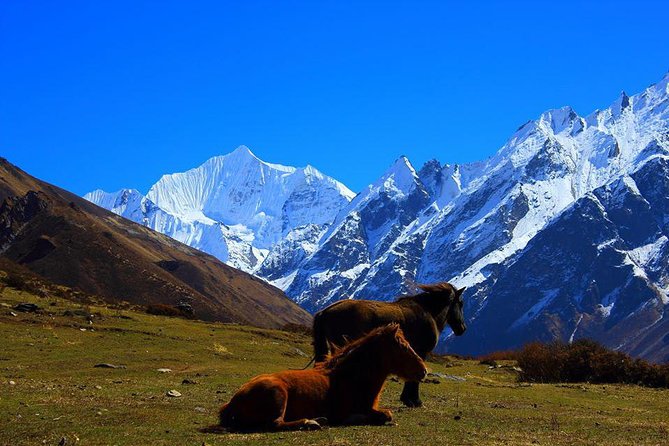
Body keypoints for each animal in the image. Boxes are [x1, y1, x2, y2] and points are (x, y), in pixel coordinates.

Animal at [219, 324, 428, 432]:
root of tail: (232, 402)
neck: (352, 376)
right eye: (403, 347)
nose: (424, 371)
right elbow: (386, 414)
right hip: (278, 395)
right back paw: (311, 422)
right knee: (275, 424)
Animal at [312, 282, 464, 408]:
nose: (462, 328)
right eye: (461, 303)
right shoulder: (421, 352)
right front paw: (414, 401)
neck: (428, 312)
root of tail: (325, 311)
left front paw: (408, 400)